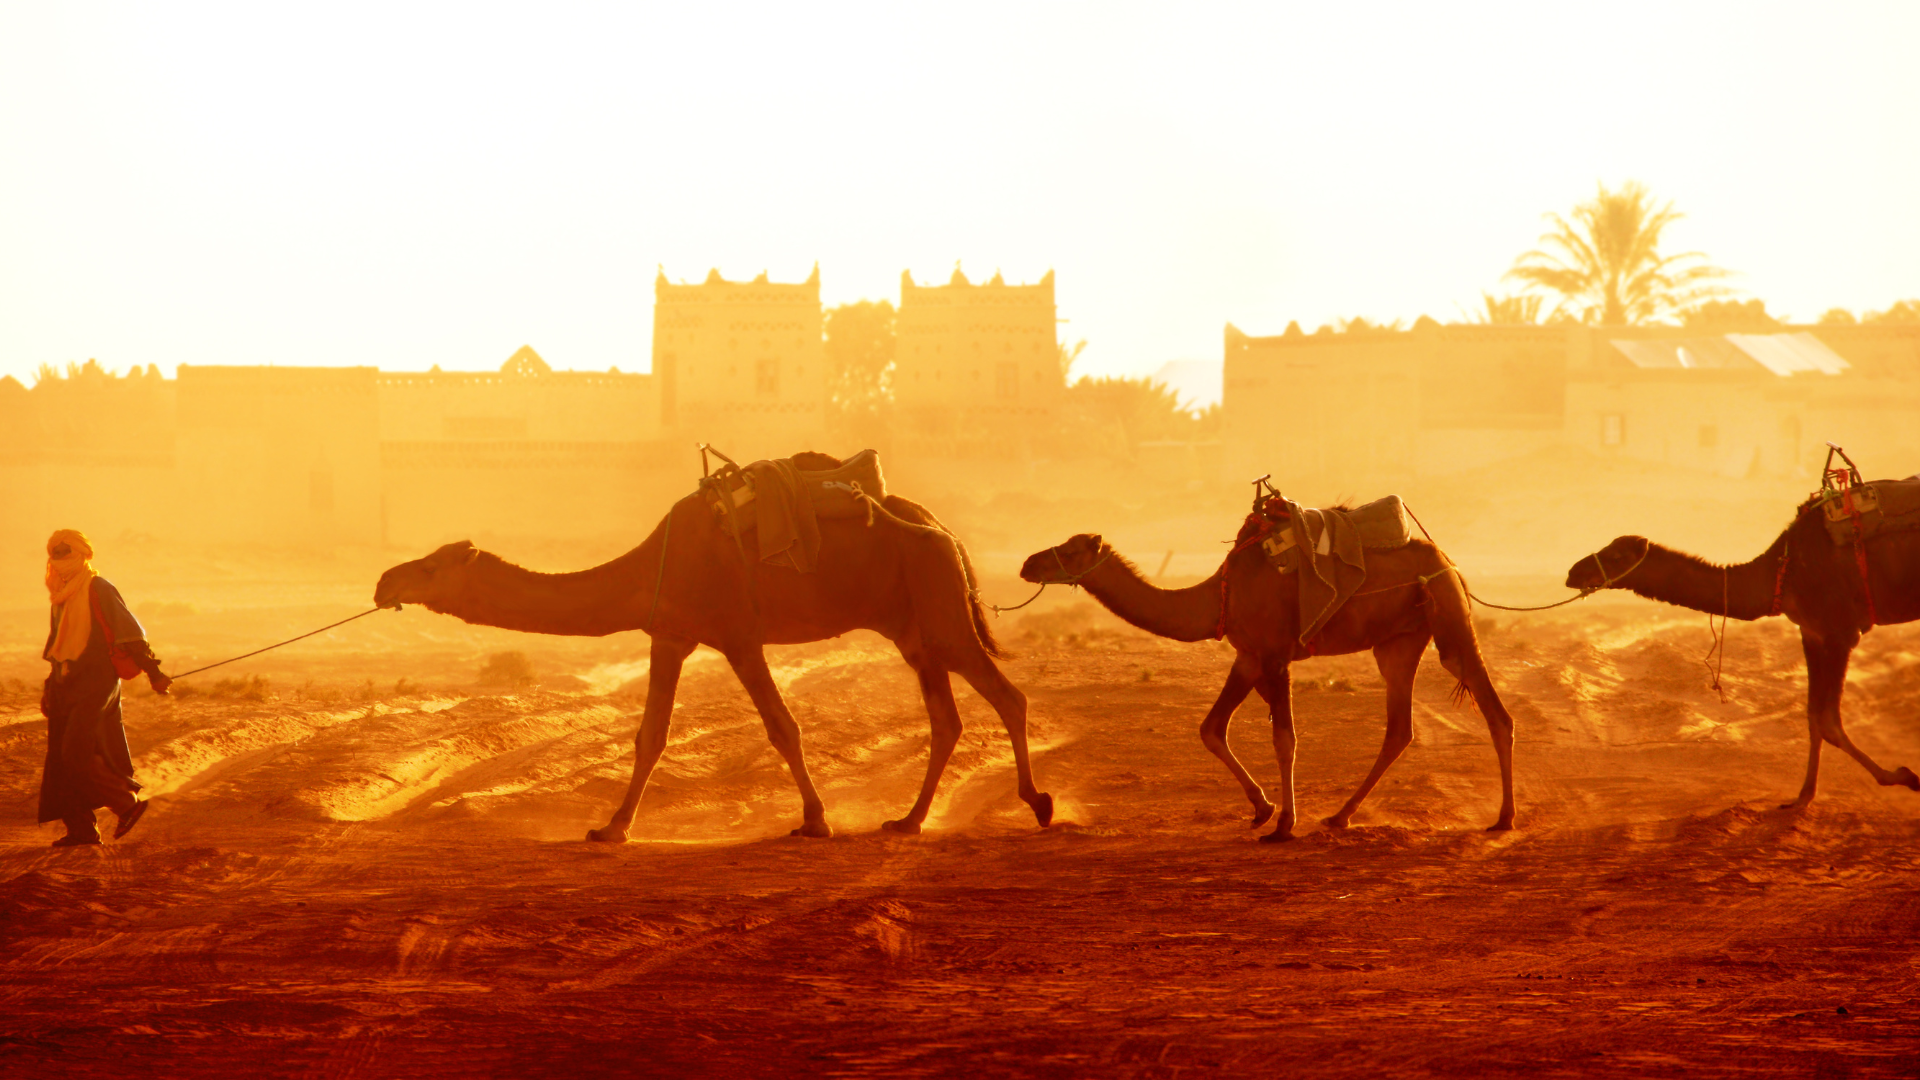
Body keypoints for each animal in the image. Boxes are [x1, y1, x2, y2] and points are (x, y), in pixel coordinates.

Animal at [370, 457, 1052, 837]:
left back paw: (1040, 803)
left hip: (939, 609)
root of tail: (946, 531)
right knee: (946, 717)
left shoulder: (738, 635)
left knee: (1007, 697)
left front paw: (816, 820)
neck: (654, 564)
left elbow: (783, 727)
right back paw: (908, 821)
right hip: (911, 625)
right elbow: (650, 735)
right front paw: (611, 828)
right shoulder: (670, 634)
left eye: (431, 567)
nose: (383, 581)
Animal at [1021, 522, 1512, 841]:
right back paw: (1339, 817)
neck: (1217, 596)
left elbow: (1284, 739)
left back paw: (1504, 819)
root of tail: (1446, 559)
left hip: (1448, 614)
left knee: (1493, 709)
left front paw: (1283, 824)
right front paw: (1262, 809)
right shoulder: (1248, 657)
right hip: (1399, 641)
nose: (1028, 563)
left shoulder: (1275, 656)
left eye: (1071, 548)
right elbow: (1211, 729)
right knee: (1399, 729)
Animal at [1559, 495, 1920, 799]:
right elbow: (1813, 717)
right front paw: (1804, 794)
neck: (1778, 572)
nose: (1573, 572)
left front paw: (1903, 776)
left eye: (1616, 555)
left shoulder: (1839, 631)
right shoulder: (1812, 631)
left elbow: (1828, 720)